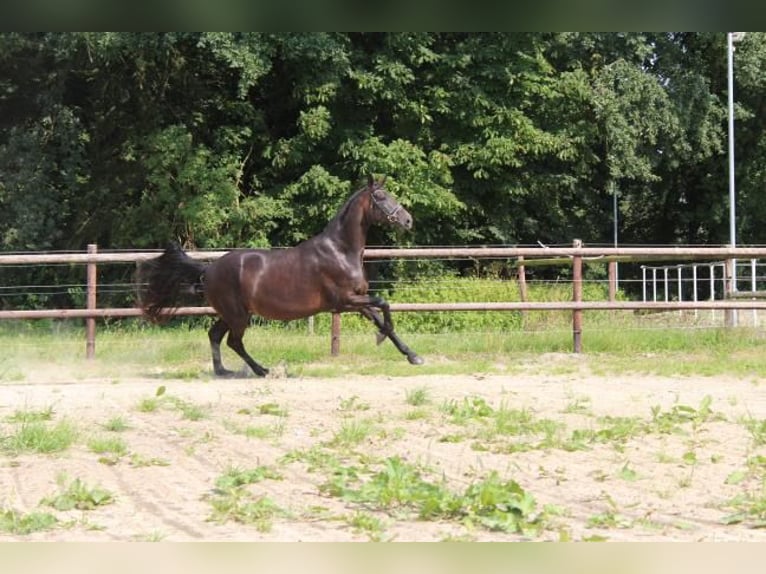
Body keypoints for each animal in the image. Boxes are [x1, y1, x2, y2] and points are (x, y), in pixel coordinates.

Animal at [138, 178, 426, 380]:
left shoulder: (357, 299)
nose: (408, 220)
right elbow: (384, 305)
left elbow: (381, 316)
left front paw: (413, 356)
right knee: (233, 341)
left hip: (232, 313)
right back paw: (262, 370)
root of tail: (208, 270)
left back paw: (224, 371)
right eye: (381, 197)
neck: (341, 251)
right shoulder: (344, 301)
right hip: (238, 315)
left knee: (215, 335)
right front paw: (382, 338)